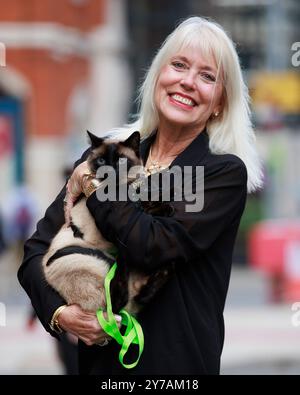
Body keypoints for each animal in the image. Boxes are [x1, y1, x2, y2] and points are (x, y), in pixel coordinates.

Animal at [42, 131, 173, 318]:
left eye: (120, 161)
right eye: (102, 161)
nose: (109, 170)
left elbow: (146, 199)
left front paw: (163, 203)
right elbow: (142, 206)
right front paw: (161, 206)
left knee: (145, 287)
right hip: (91, 259)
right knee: (119, 299)